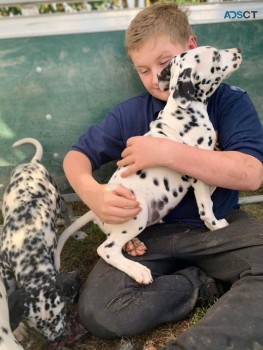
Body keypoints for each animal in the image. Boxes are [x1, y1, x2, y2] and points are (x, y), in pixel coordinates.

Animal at [0, 139, 81, 342]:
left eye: (60, 314)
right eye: (37, 325)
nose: (56, 339)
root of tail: (32, 163)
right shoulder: (6, 271)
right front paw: (17, 329)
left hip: (60, 200)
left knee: (67, 213)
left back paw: (76, 232)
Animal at [55, 45, 243, 284]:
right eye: (216, 55)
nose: (237, 50)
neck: (186, 111)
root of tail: (95, 212)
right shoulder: (198, 171)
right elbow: (206, 207)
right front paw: (215, 224)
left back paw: (133, 246)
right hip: (137, 215)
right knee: (106, 249)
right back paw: (138, 270)